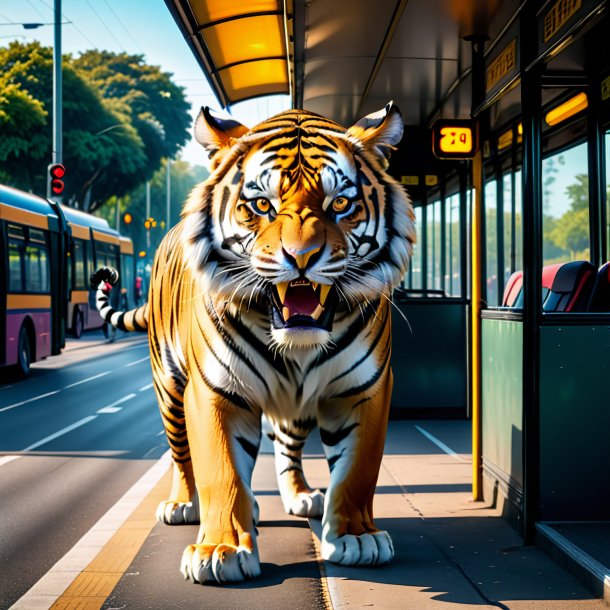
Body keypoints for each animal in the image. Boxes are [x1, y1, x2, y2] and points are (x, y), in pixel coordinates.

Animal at [90, 102, 414, 580]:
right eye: (261, 205)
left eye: (340, 203)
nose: (301, 257)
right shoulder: (214, 391)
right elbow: (221, 469)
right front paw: (220, 549)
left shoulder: (364, 390)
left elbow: (358, 471)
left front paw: (356, 537)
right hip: (168, 387)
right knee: (181, 454)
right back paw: (184, 504)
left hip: (296, 407)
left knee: (287, 446)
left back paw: (300, 495)